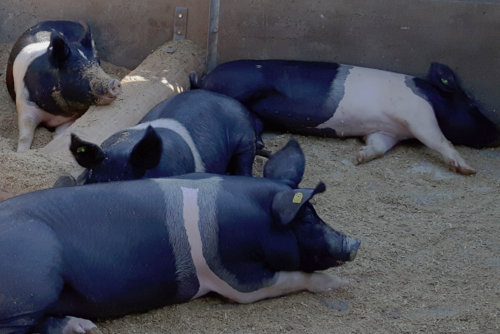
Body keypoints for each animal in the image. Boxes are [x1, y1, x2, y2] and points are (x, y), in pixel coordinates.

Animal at [0, 139, 360, 334]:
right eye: (306, 218)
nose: (354, 242)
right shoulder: (235, 275)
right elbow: (287, 278)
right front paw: (338, 284)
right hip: (34, 282)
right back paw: (82, 326)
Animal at [5, 20, 122, 151]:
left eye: (97, 64)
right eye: (75, 69)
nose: (115, 82)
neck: (54, 114)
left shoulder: (70, 118)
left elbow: (61, 134)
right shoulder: (24, 104)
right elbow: (25, 134)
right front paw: (21, 151)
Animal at [190, 59, 500, 175]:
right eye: (472, 105)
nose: (497, 131)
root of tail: (205, 77)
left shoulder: (386, 133)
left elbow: (378, 148)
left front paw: (359, 158)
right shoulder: (417, 114)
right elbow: (439, 139)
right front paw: (468, 169)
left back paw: (261, 146)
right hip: (240, 87)